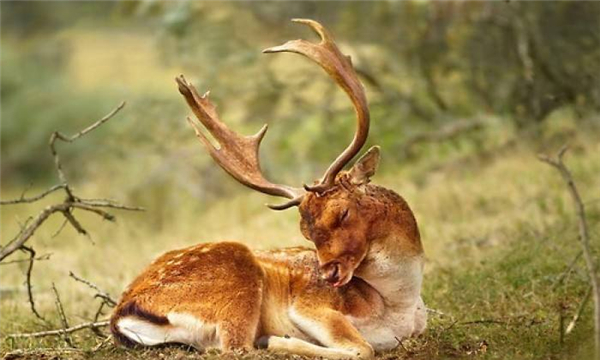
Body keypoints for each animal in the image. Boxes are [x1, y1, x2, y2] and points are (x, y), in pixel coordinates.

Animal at [109, 20, 426, 360]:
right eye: (305, 231)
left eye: (343, 212)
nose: (328, 275)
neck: (401, 307)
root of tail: (121, 316)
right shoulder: (312, 305)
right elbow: (362, 348)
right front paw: (279, 339)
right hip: (238, 277)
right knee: (235, 347)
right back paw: (268, 340)